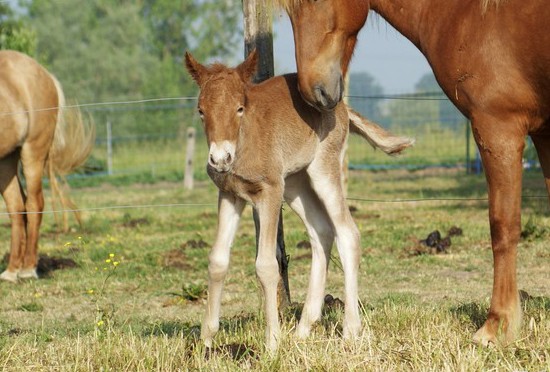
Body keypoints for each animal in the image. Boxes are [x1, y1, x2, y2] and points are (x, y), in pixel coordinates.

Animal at [0, 49, 94, 282]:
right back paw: (11, 271)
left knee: (34, 204)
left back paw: (27, 270)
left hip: (32, 151)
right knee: (17, 208)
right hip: (6, 160)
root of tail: (45, 74)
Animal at [187, 50, 414, 352]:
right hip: (295, 184)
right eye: (201, 110)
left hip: (321, 171)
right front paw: (206, 341)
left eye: (239, 108)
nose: (220, 159)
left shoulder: (270, 191)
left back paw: (350, 329)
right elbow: (217, 261)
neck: (243, 142)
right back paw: (304, 328)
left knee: (347, 233)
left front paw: (272, 342)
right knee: (322, 231)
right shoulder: (230, 194)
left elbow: (266, 265)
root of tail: (341, 107)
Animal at [278, 0, 550, 346]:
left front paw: (496, 326)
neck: (470, 12)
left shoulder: (498, 127)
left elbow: (502, 225)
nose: (313, 93)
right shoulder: (545, 134)